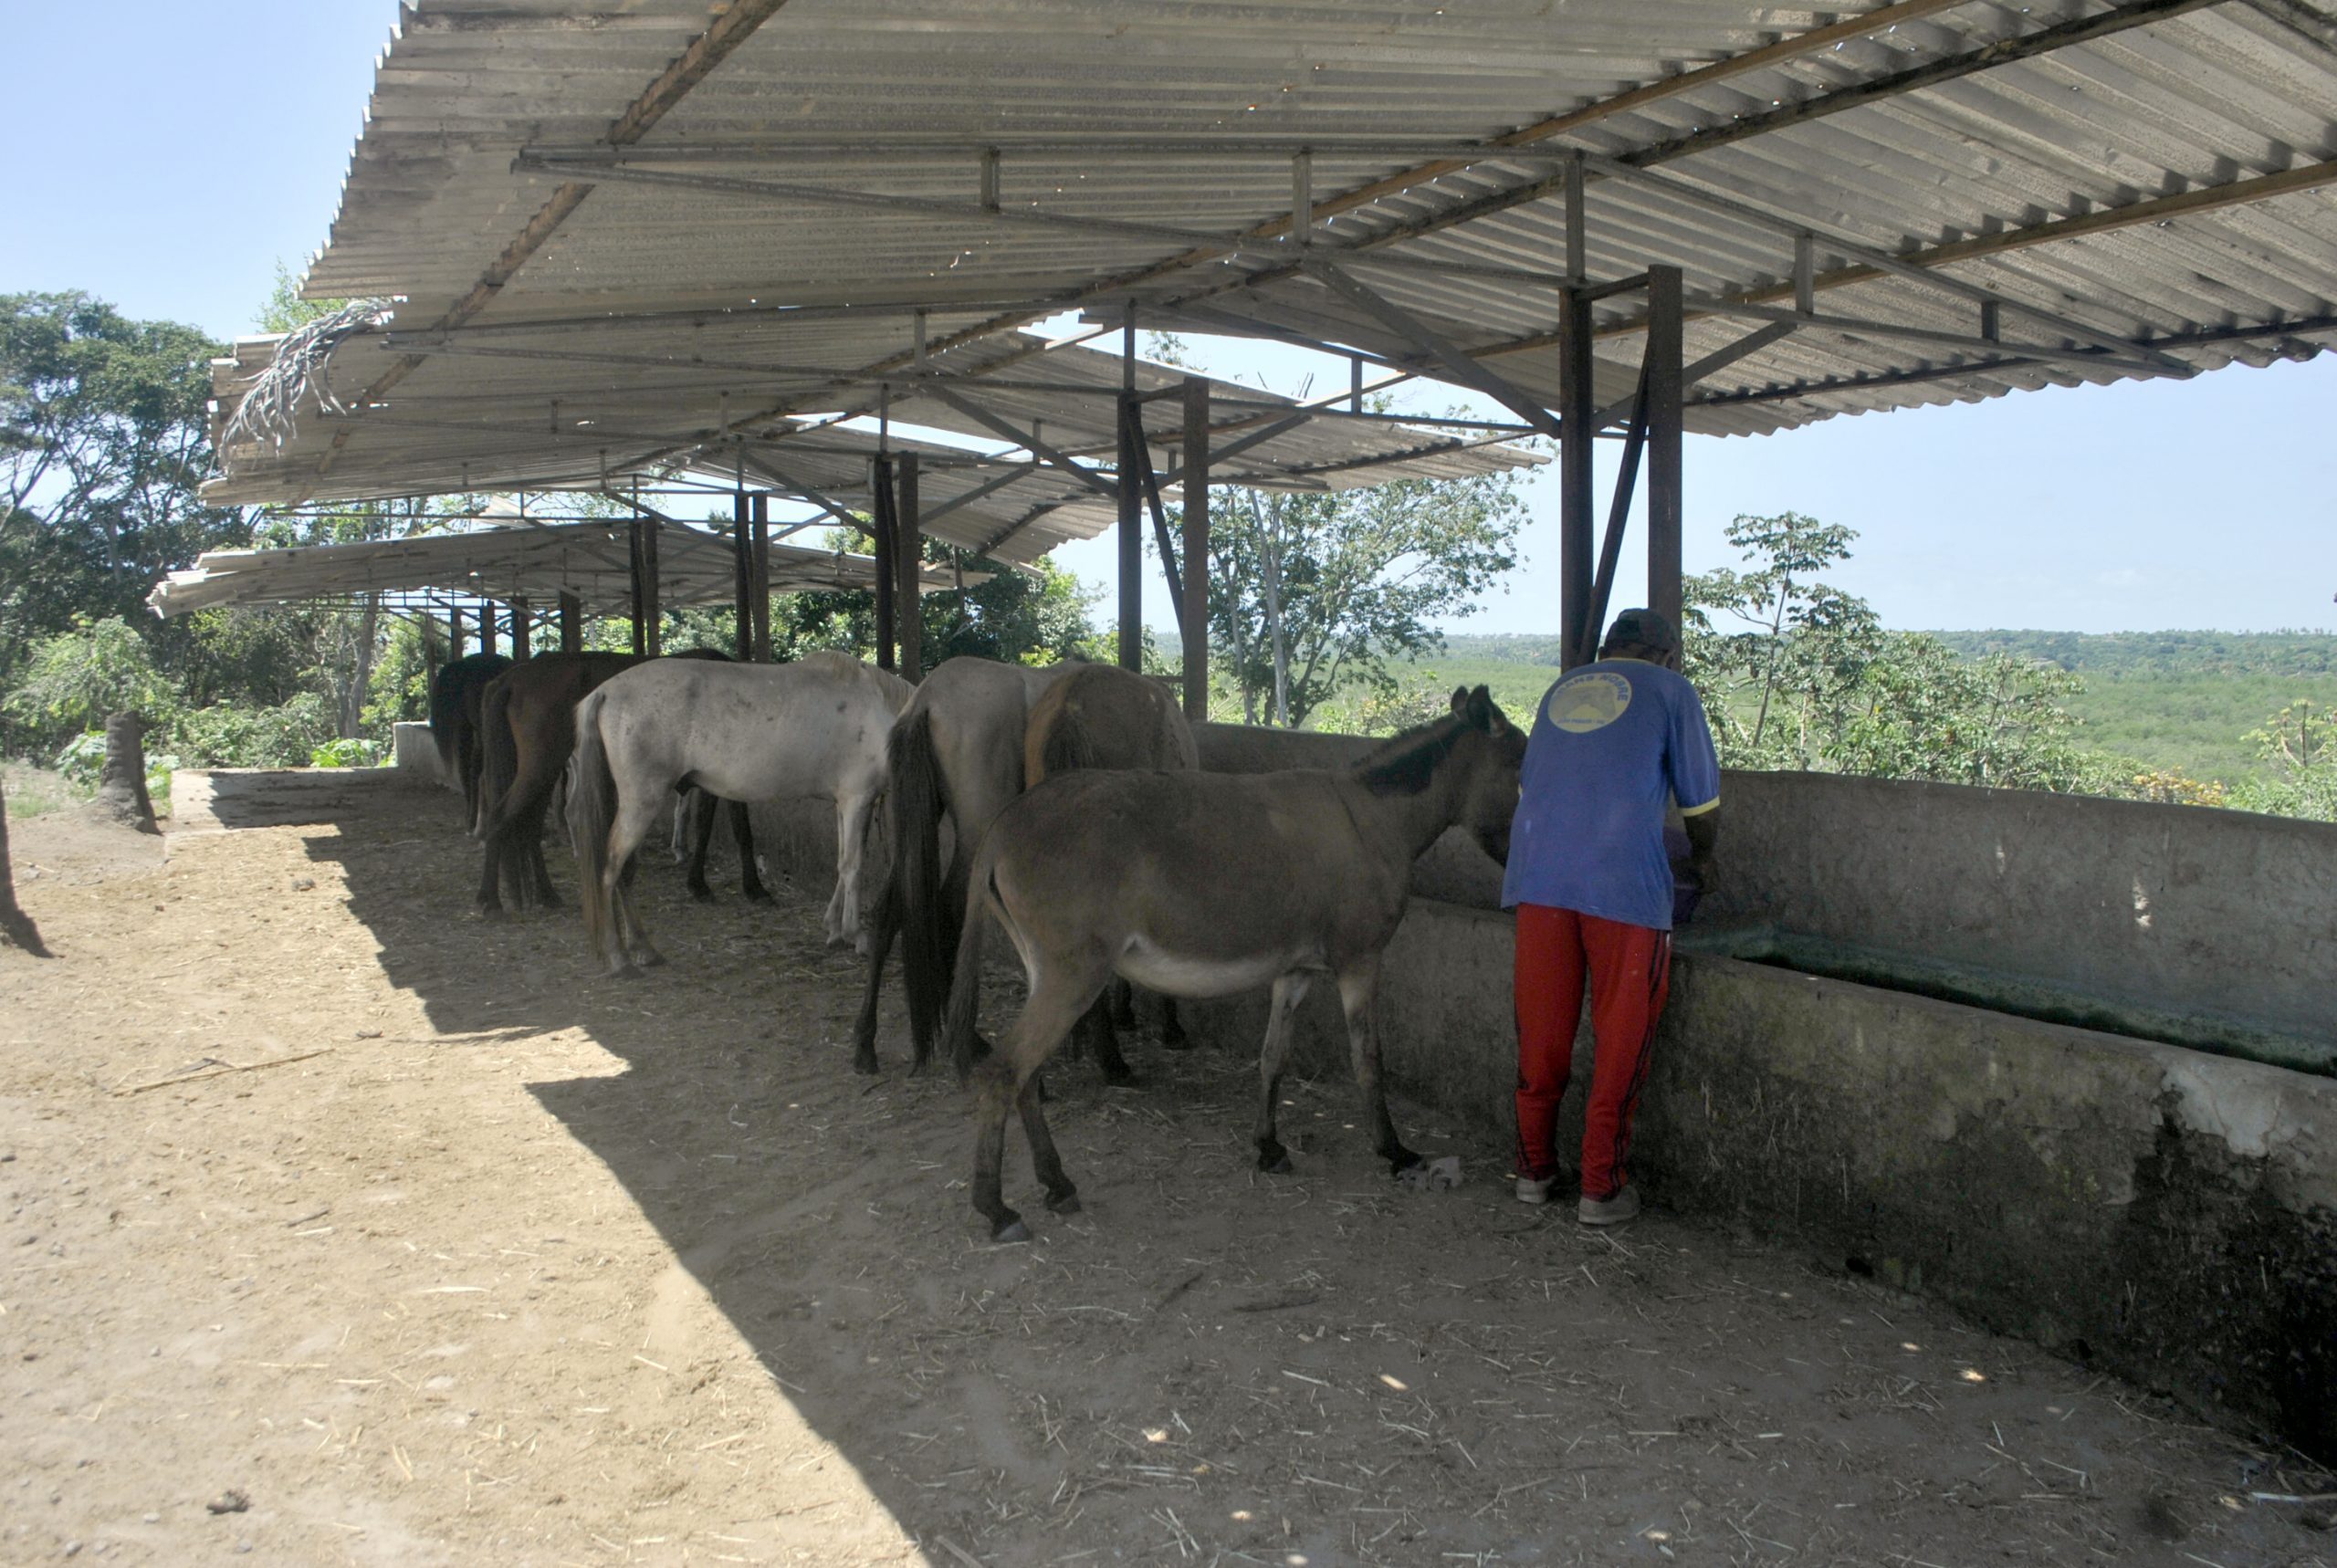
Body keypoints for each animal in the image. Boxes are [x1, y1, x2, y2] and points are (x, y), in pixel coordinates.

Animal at [467, 653, 766, 920]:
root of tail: (512, 678)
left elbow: (734, 828)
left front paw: (742, 886)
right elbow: (716, 827)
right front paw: (729, 886)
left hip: (545, 772)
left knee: (529, 827)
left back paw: (546, 893)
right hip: (541, 767)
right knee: (500, 817)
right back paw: (490, 900)